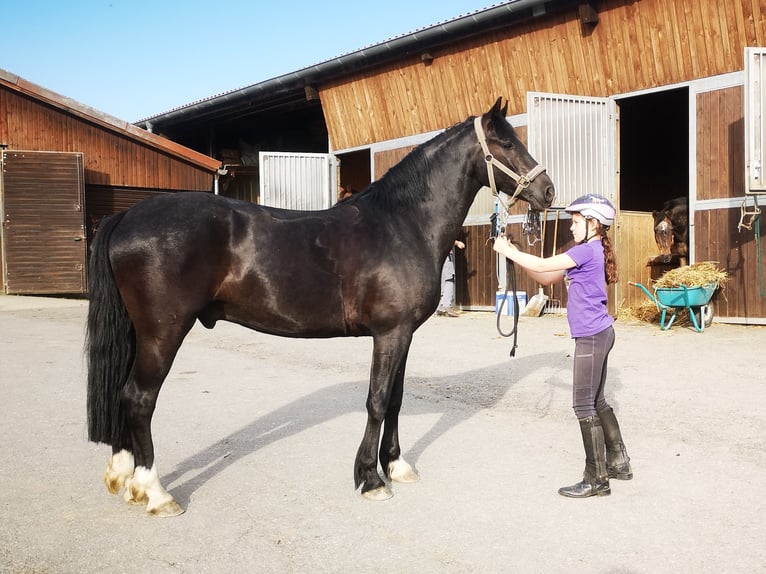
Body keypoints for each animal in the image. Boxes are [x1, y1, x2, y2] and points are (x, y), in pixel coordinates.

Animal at [87, 98, 556, 516]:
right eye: (507, 142)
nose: (548, 190)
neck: (402, 224)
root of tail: (127, 217)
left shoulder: (404, 334)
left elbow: (397, 400)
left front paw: (396, 465)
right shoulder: (389, 334)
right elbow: (377, 400)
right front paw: (370, 479)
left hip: (140, 333)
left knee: (123, 394)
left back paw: (124, 476)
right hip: (163, 333)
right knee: (139, 398)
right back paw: (155, 492)